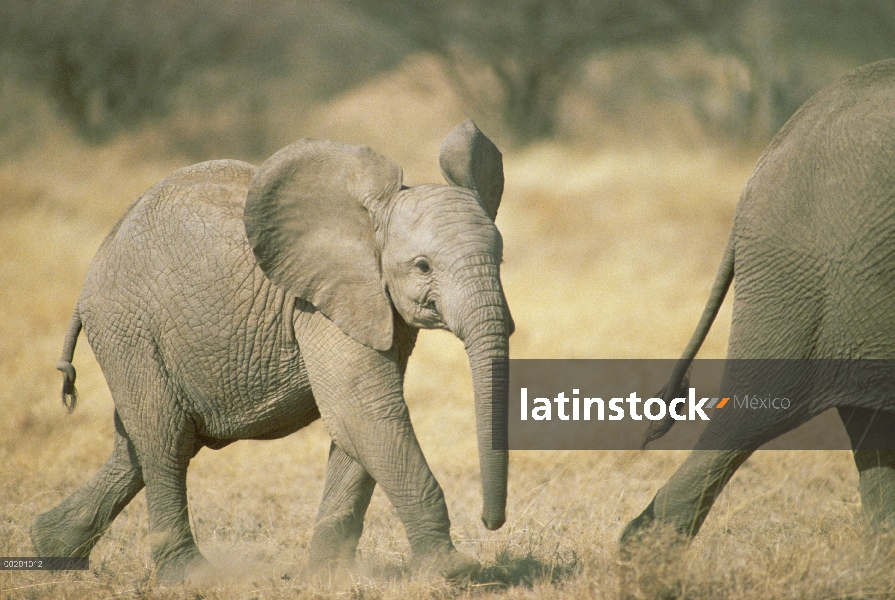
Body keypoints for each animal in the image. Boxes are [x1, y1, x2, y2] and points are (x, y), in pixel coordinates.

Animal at [31, 120, 516, 580]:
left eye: (500, 259)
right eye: (423, 266)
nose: (490, 523)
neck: (368, 223)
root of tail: (90, 277)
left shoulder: (375, 307)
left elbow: (359, 421)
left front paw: (328, 576)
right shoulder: (318, 302)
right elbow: (365, 408)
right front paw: (454, 572)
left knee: (139, 443)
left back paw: (49, 548)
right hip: (129, 328)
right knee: (164, 438)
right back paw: (189, 577)